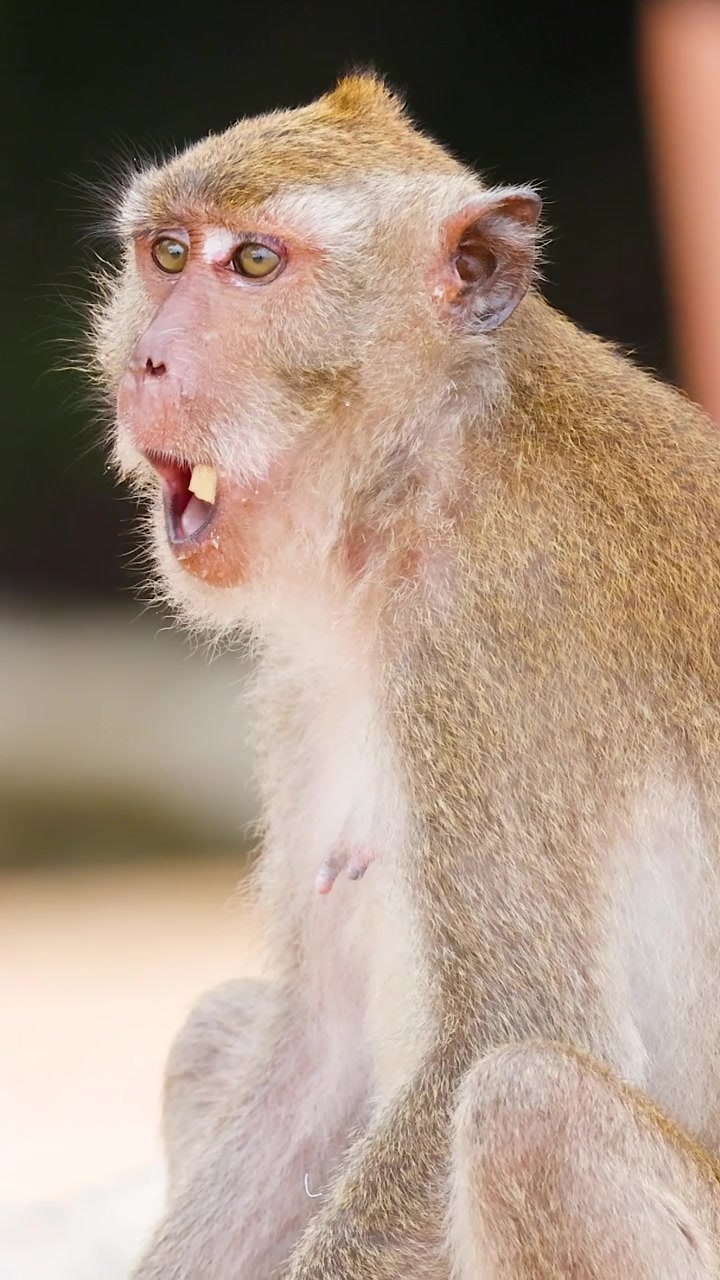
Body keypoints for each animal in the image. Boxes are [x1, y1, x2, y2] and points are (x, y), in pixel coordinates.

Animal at [89, 72, 720, 1278]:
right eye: (167, 252)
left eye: (255, 263)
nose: (146, 360)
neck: (419, 477)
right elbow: (315, 1049)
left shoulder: (502, 636)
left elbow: (506, 1027)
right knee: (220, 1028)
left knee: (528, 1109)